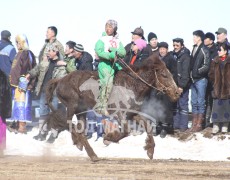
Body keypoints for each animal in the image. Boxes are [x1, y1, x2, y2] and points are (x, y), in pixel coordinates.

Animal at [45, 54, 180, 161]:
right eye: (164, 75)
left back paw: (90, 153)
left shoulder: (133, 114)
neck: (131, 86)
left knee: (80, 129)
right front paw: (108, 137)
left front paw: (150, 149)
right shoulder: (118, 113)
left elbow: (147, 126)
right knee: (69, 123)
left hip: (81, 111)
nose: (177, 92)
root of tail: (60, 80)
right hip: (72, 105)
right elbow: (126, 130)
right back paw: (82, 145)